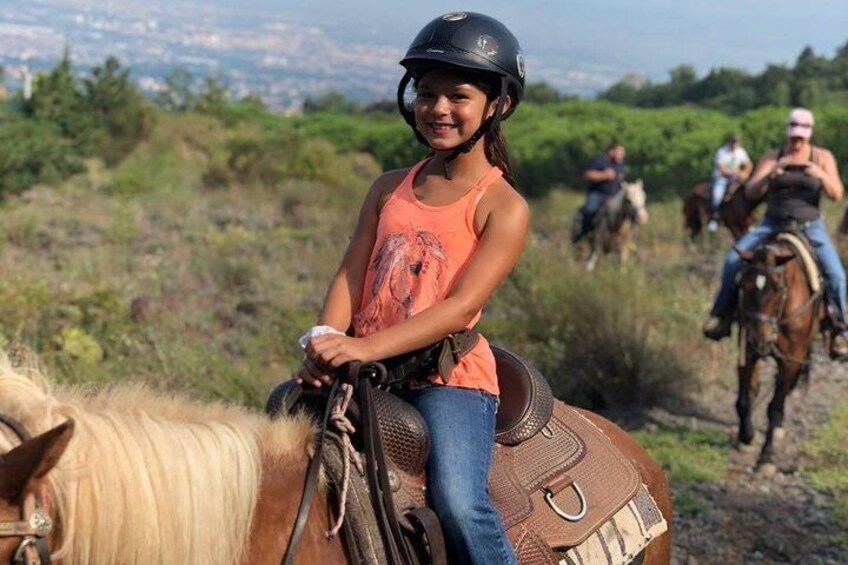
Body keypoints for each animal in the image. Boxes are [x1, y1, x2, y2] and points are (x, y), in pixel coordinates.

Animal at [736, 234, 820, 472]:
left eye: (778, 289)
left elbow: (775, 407)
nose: (760, 340)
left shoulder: (791, 360)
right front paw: (746, 436)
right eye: (743, 286)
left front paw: (766, 457)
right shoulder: (747, 350)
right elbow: (745, 397)